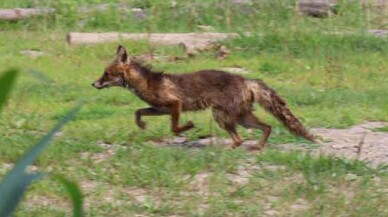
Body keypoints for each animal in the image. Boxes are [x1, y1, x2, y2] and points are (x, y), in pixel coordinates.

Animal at [93, 45, 316, 150]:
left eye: (106, 74)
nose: (93, 84)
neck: (147, 84)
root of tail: (246, 80)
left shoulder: (175, 104)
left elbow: (175, 128)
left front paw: (189, 126)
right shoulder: (160, 109)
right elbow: (138, 111)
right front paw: (141, 125)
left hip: (222, 117)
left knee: (241, 138)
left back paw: (229, 149)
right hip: (240, 118)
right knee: (266, 127)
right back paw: (256, 147)